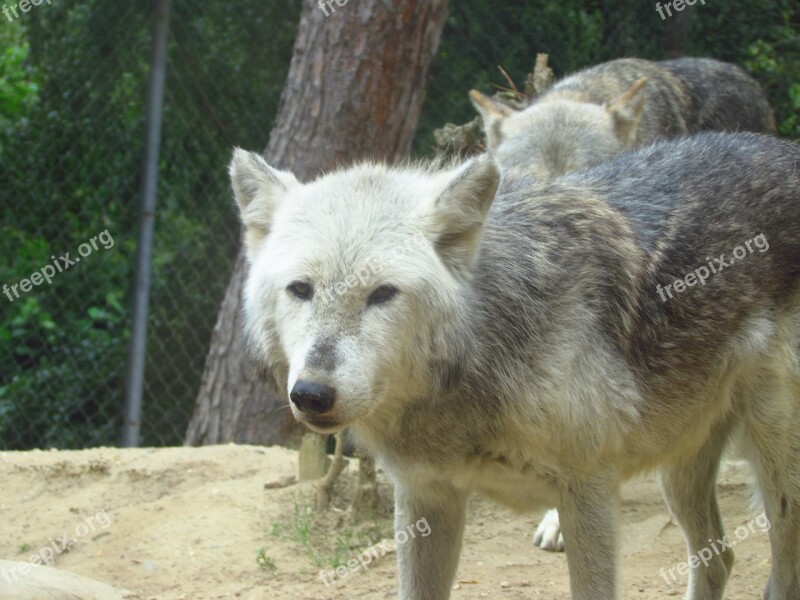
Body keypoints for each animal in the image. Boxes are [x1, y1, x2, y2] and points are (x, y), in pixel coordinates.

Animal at [228, 132, 800, 600]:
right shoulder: (425, 498)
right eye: (301, 289)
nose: (311, 394)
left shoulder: (589, 494)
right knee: (719, 557)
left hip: (778, 473)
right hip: (680, 470)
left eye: (382, 294)